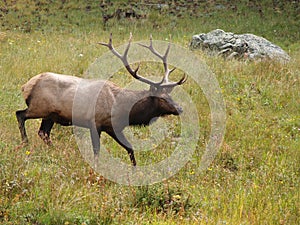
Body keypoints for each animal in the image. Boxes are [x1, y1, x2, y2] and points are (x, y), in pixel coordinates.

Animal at [15, 33, 188, 167]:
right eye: (162, 98)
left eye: (170, 95)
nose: (180, 108)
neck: (122, 110)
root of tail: (26, 86)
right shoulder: (95, 123)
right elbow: (97, 151)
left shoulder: (112, 127)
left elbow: (130, 148)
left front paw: (135, 171)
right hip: (39, 107)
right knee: (20, 114)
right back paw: (25, 143)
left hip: (50, 115)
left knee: (43, 132)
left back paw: (55, 152)